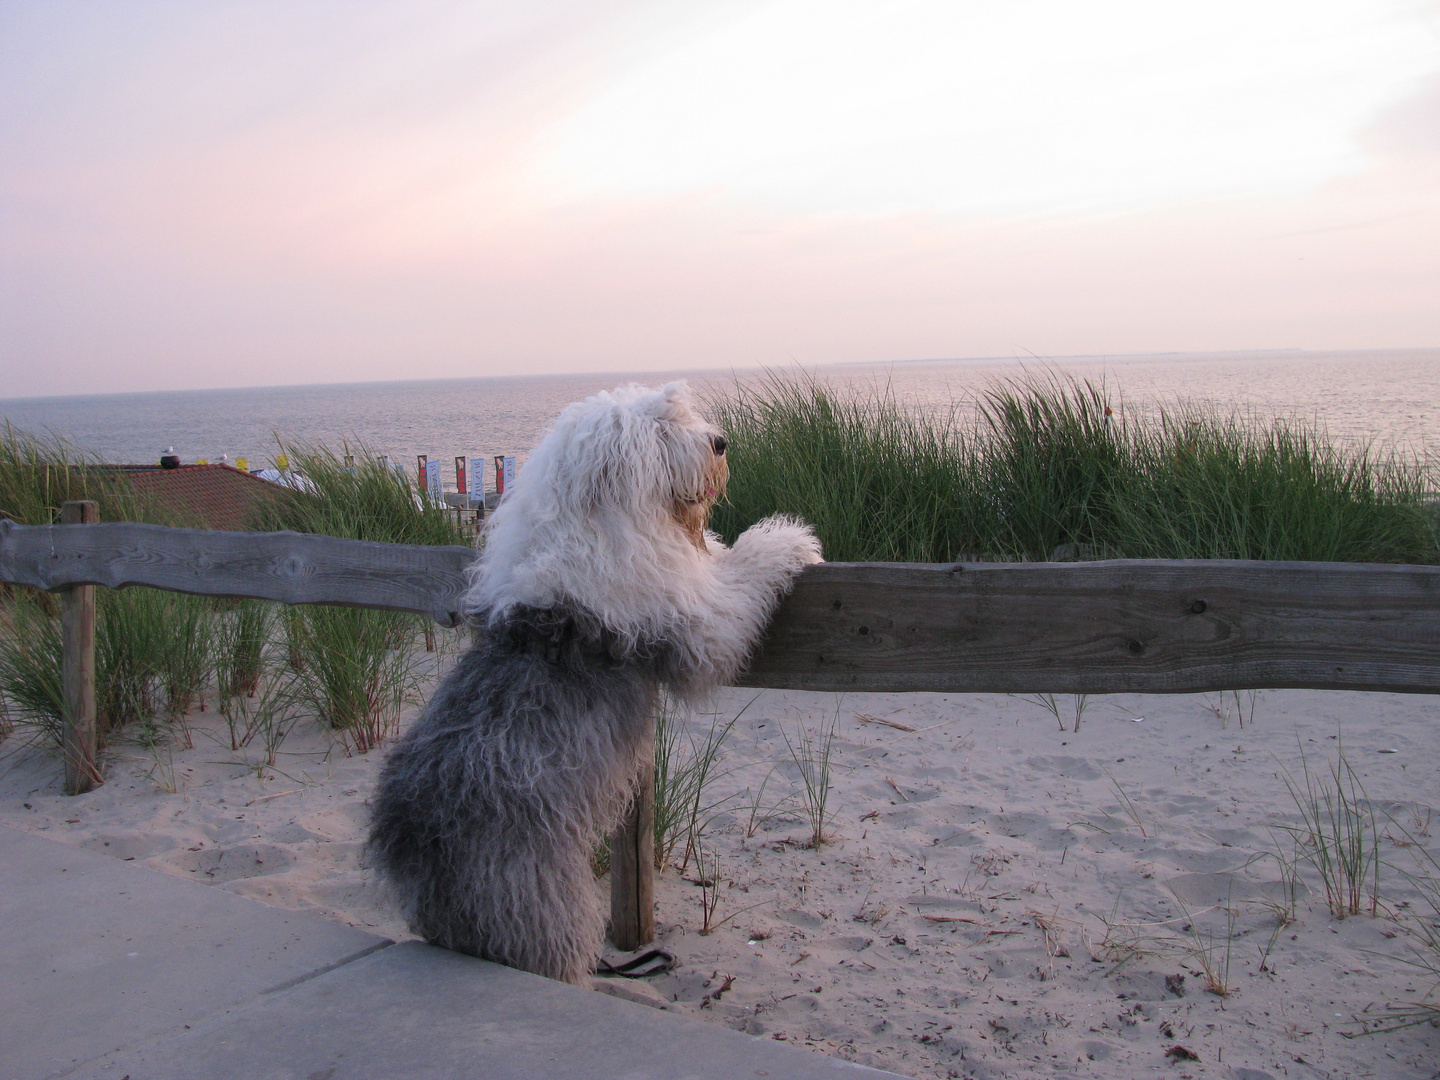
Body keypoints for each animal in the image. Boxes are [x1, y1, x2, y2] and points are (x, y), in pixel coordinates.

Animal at [368, 385, 823, 984]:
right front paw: (790, 541)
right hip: (534, 903)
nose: (721, 442)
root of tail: (412, 845)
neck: (594, 527)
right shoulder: (698, 627)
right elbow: (738, 587)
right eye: (660, 431)